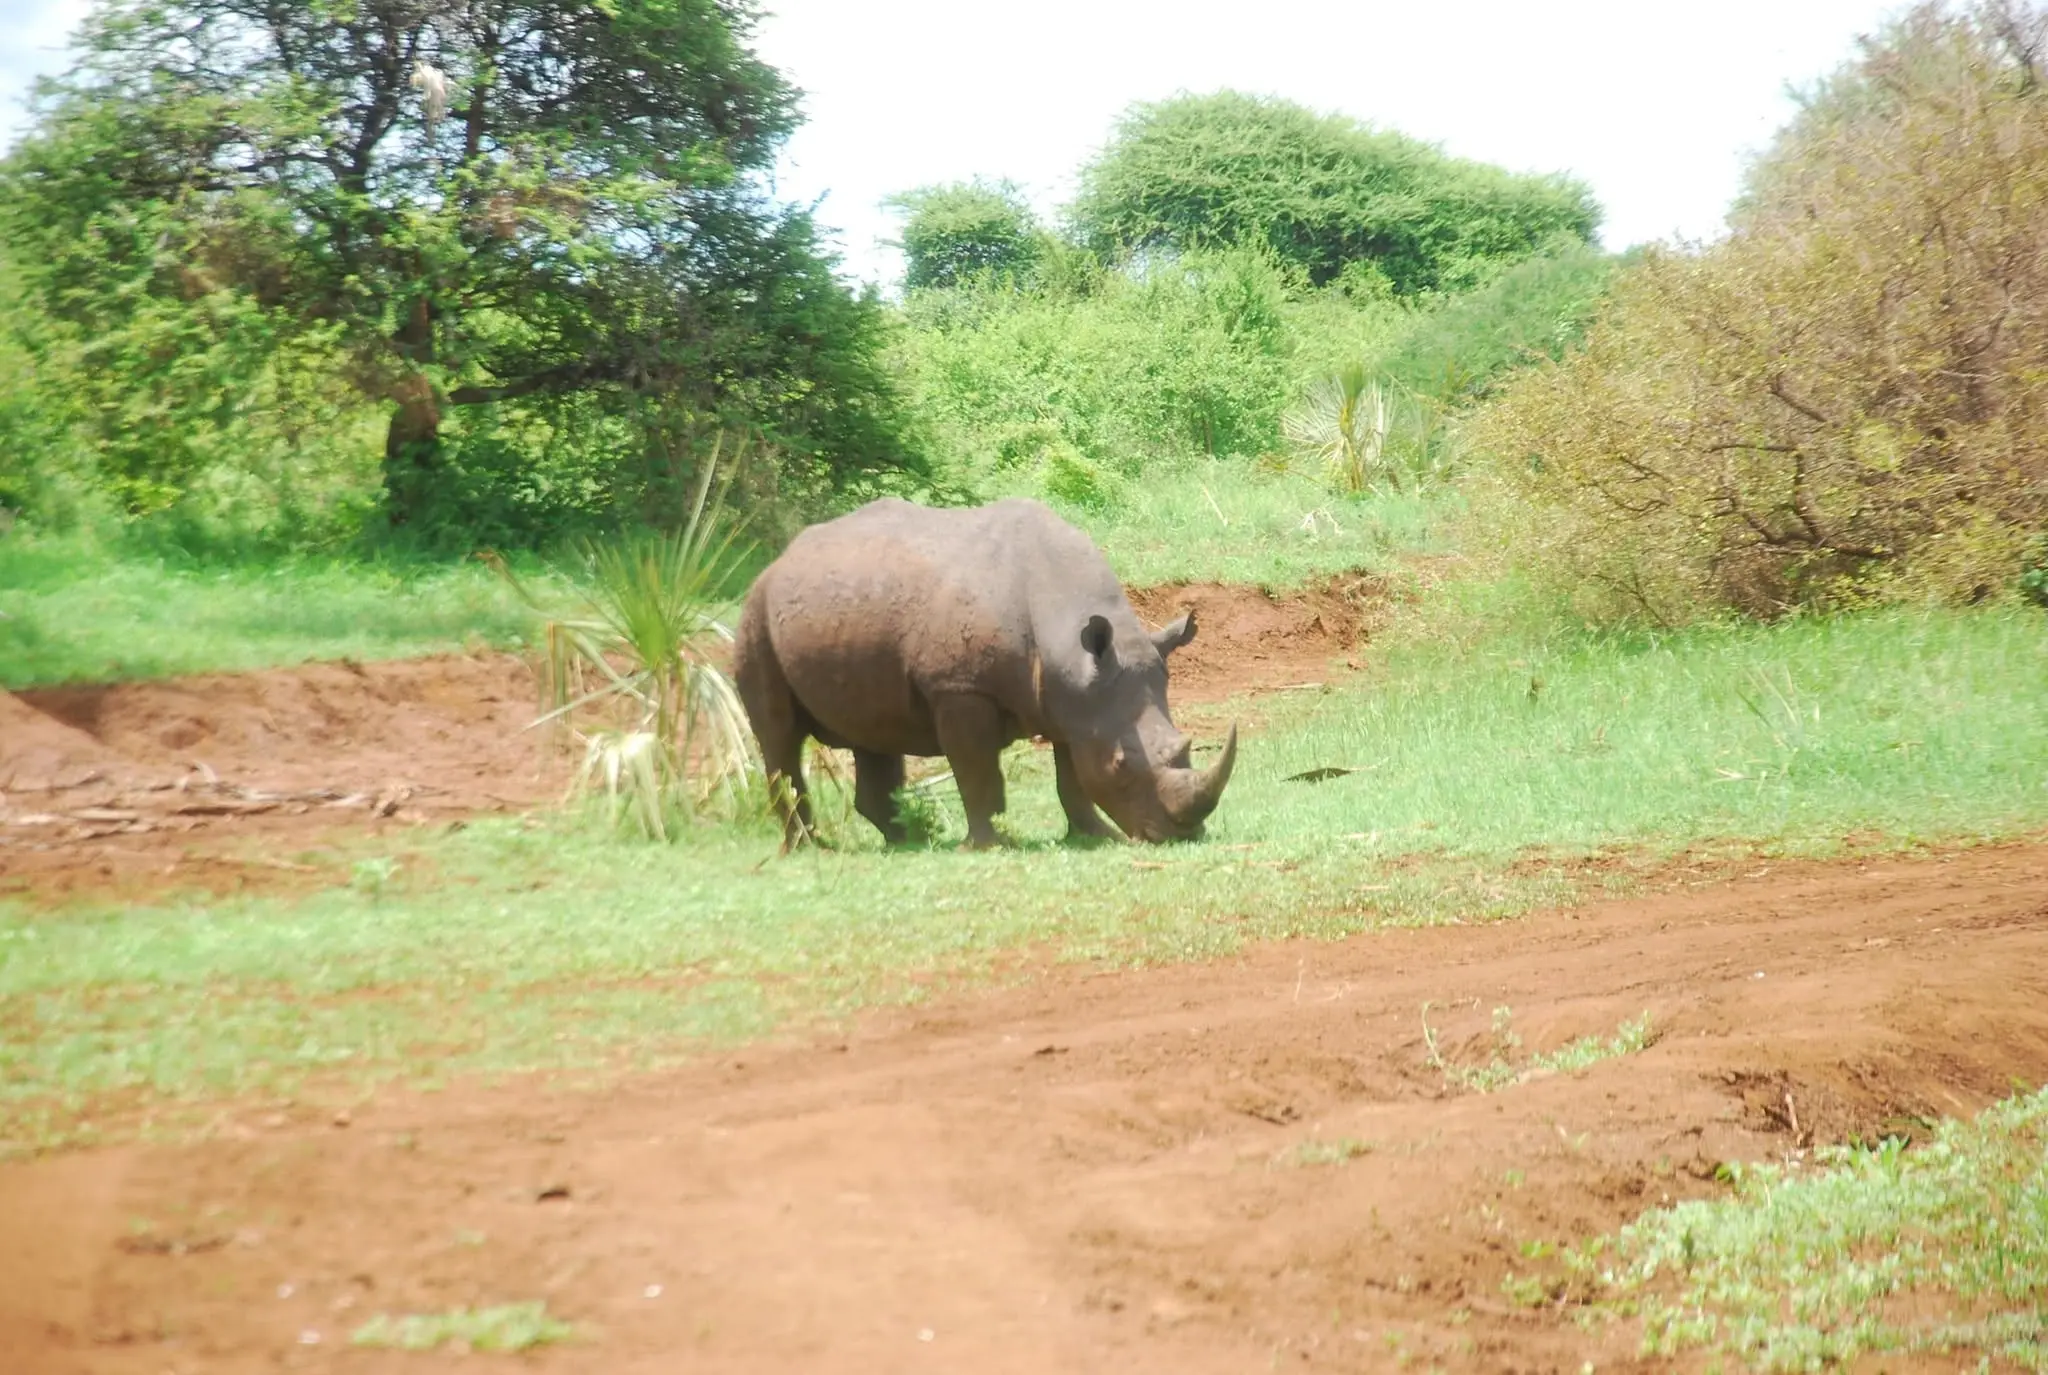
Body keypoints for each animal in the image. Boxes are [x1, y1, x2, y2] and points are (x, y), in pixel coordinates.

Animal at [732, 497, 1238, 851]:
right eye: (1121, 764)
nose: (1180, 835)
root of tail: (780, 559)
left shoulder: (1075, 701)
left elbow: (1073, 778)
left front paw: (1095, 837)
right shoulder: (960, 687)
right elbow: (978, 773)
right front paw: (991, 845)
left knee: (873, 731)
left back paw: (910, 843)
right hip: (754, 615)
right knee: (778, 736)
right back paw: (811, 849)